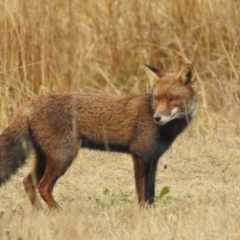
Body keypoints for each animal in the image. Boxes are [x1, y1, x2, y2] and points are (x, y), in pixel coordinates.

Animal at [0, 63, 197, 208]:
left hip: (45, 157)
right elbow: (142, 193)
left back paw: (40, 212)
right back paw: (57, 211)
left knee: (28, 182)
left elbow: (152, 194)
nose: (157, 117)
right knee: (43, 186)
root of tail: (28, 103)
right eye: (157, 99)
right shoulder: (140, 156)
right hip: (63, 156)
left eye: (173, 99)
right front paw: (142, 214)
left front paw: (151, 212)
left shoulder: (153, 159)